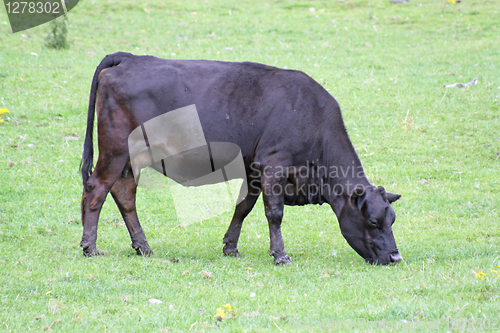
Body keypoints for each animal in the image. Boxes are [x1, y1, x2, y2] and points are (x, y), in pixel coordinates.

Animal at [82, 52, 402, 264]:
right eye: (373, 221)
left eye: (392, 219)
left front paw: (230, 247)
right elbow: (274, 213)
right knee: (96, 189)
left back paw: (143, 247)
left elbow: (243, 207)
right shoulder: (273, 165)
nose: (395, 257)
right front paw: (280, 255)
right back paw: (90, 247)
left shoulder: (253, 170)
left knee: (124, 194)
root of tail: (130, 58)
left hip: (131, 159)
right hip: (115, 150)